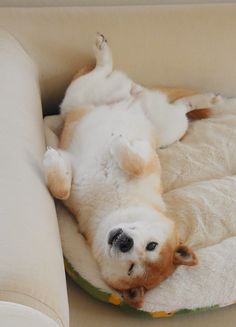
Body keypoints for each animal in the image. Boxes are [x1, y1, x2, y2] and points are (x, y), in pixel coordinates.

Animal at [42, 33, 219, 310]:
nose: (124, 242)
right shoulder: (141, 163)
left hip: (163, 127)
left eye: (132, 268)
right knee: (176, 103)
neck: (115, 206)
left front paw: (115, 144)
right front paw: (118, 143)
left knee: (178, 107)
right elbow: (62, 190)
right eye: (152, 245)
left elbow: (61, 190)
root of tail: (138, 98)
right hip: (86, 98)